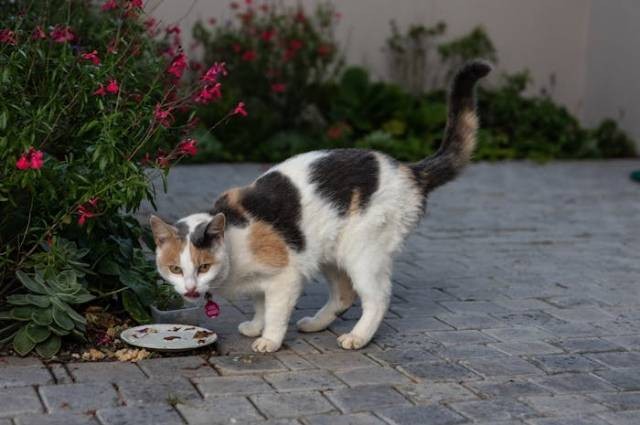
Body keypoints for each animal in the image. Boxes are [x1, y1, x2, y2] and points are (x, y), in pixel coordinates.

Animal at [150, 59, 490, 352]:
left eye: (203, 267)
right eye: (175, 269)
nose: (190, 289)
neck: (233, 240)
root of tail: (408, 170)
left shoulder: (285, 277)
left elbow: (275, 312)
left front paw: (269, 339)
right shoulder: (264, 282)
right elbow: (260, 305)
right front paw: (256, 325)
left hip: (362, 252)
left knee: (377, 298)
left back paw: (357, 337)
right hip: (328, 251)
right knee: (344, 295)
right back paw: (315, 324)